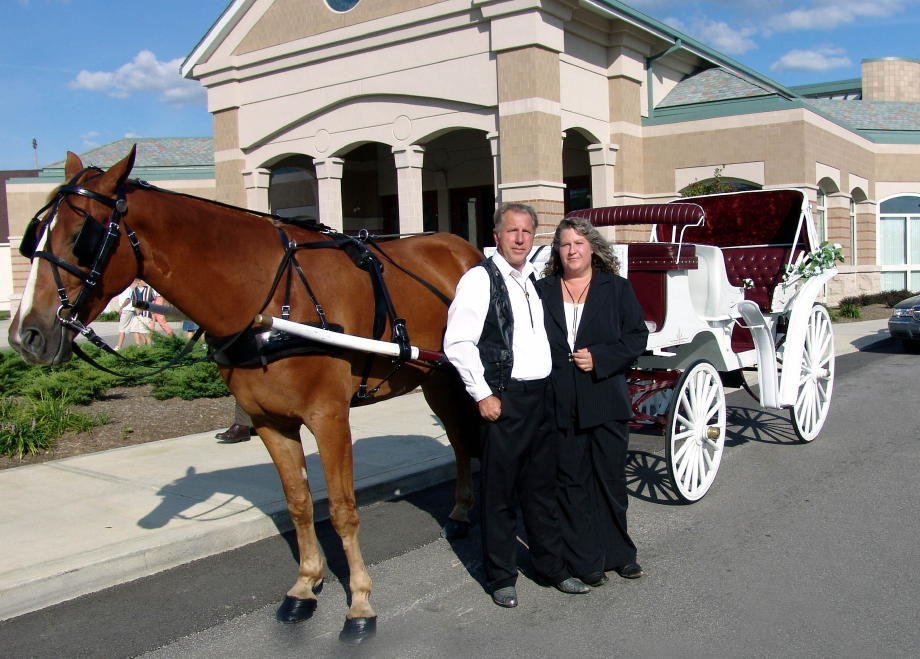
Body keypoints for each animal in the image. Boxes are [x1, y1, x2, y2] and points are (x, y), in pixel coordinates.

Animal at [9, 148, 482, 644]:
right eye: (34, 236)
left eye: (81, 236)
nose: (26, 335)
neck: (266, 299)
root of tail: (463, 248)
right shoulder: (270, 420)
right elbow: (299, 504)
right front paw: (305, 585)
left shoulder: (329, 416)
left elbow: (341, 509)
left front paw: (360, 603)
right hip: (436, 379)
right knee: (459, 440)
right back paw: (461, 511)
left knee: (463, 438)